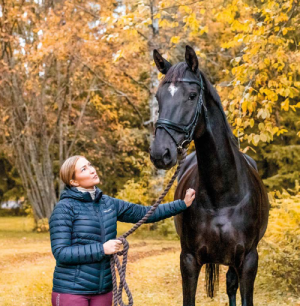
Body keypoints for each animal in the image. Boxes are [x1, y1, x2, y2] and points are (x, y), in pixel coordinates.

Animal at [150, 46, 270, 306]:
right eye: (158, 97)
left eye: (192, 95)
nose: (160, 153)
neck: (223, 196)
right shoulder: (188, 260)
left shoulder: (248, 261)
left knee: (231, 286)